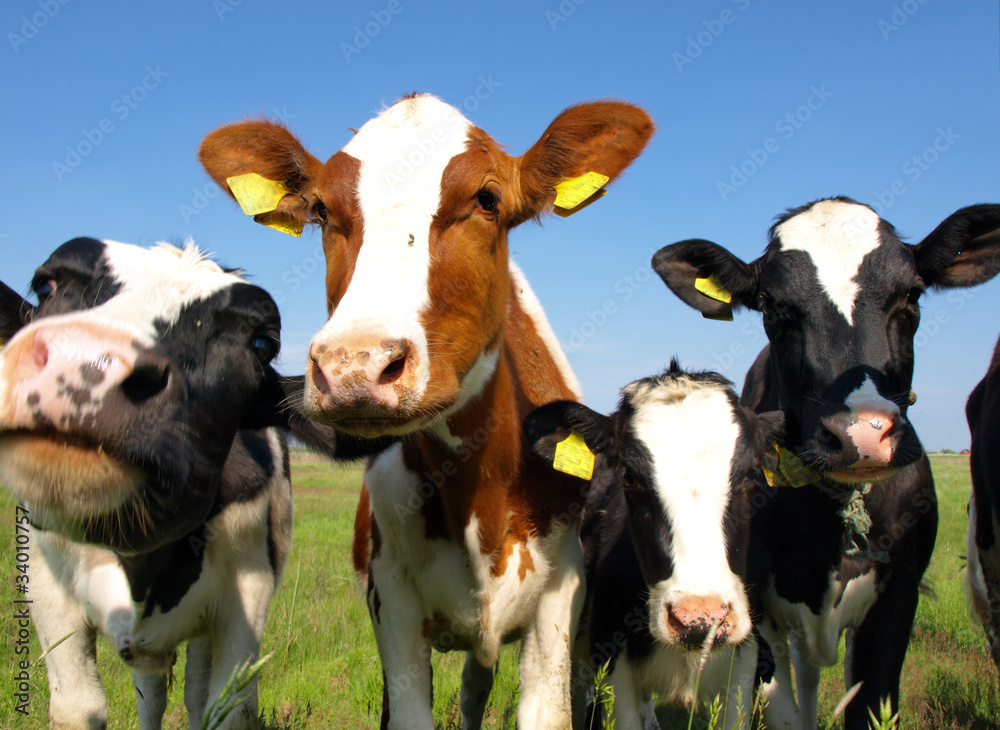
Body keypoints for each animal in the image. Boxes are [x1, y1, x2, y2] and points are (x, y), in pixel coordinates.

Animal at [0, 238, 385, 730]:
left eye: (261, 342)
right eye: (46, 287)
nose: (89, 364)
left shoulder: (247, 592)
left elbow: (226, 707)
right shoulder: (46, 585)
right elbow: (78, 708)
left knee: (193, 690)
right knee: (151, 689)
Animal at [198, 93, 654, 728]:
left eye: (487, 199)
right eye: (320, 211)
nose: (355, 365)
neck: (479, 495)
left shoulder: (558, 601)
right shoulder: (391, 600)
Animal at [652, 198, 1000, 729]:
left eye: (912, 295)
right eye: (774, 307)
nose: (863, 434)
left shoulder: (898, 595)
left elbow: (871, 703)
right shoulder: (754, 607)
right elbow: (785, 712)